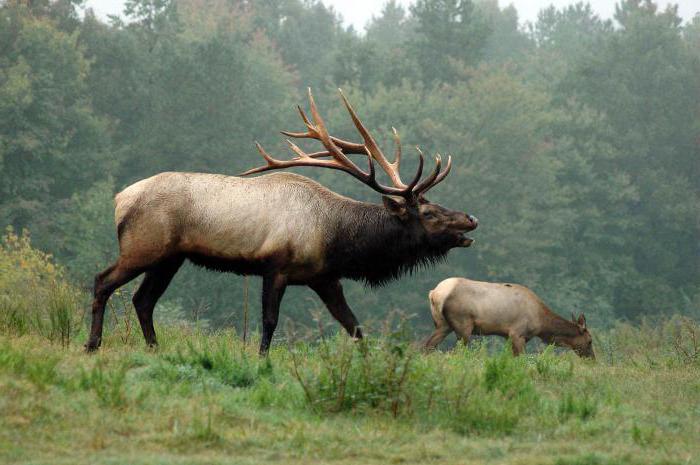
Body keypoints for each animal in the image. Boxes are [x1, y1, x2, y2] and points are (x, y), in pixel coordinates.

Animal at [87, 89, 478, 354]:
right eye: (428, 213)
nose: (470, 219)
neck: (337, 238)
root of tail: (120, 200)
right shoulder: (275, 267)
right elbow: (269, 322)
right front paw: (262, 361)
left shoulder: (324, 277)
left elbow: (354, 326)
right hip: (144, 246)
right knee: (103, 281)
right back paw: (93, 344)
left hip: (170, 258)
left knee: (143, 300)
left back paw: (154, 348)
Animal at [424, 278, 592, 358]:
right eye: (590, 341)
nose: (592, 359)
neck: (541, 324)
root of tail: (434, 293)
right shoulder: (517, 333)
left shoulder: (508, 336)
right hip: (463, 324)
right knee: (456, 352)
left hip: (442, 325)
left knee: (426, 346)